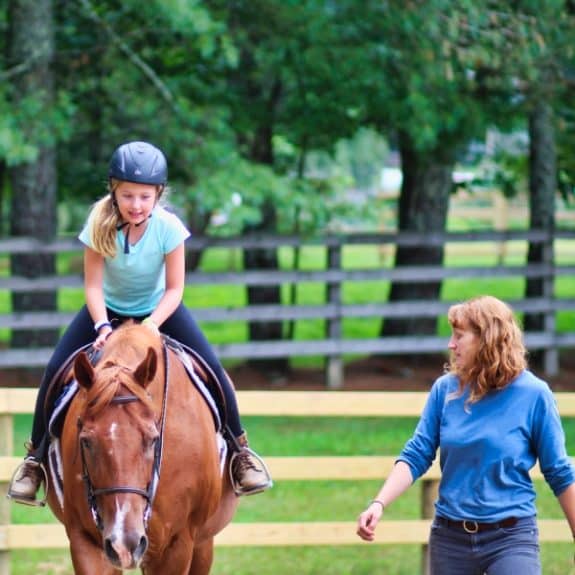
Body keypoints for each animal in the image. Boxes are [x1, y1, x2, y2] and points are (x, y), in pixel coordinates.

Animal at [45, 322, 238, 572]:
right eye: (86, 441)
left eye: (153, 439)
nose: (124, 543)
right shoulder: (84, 540)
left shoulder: (178, 544)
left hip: (202, 544)